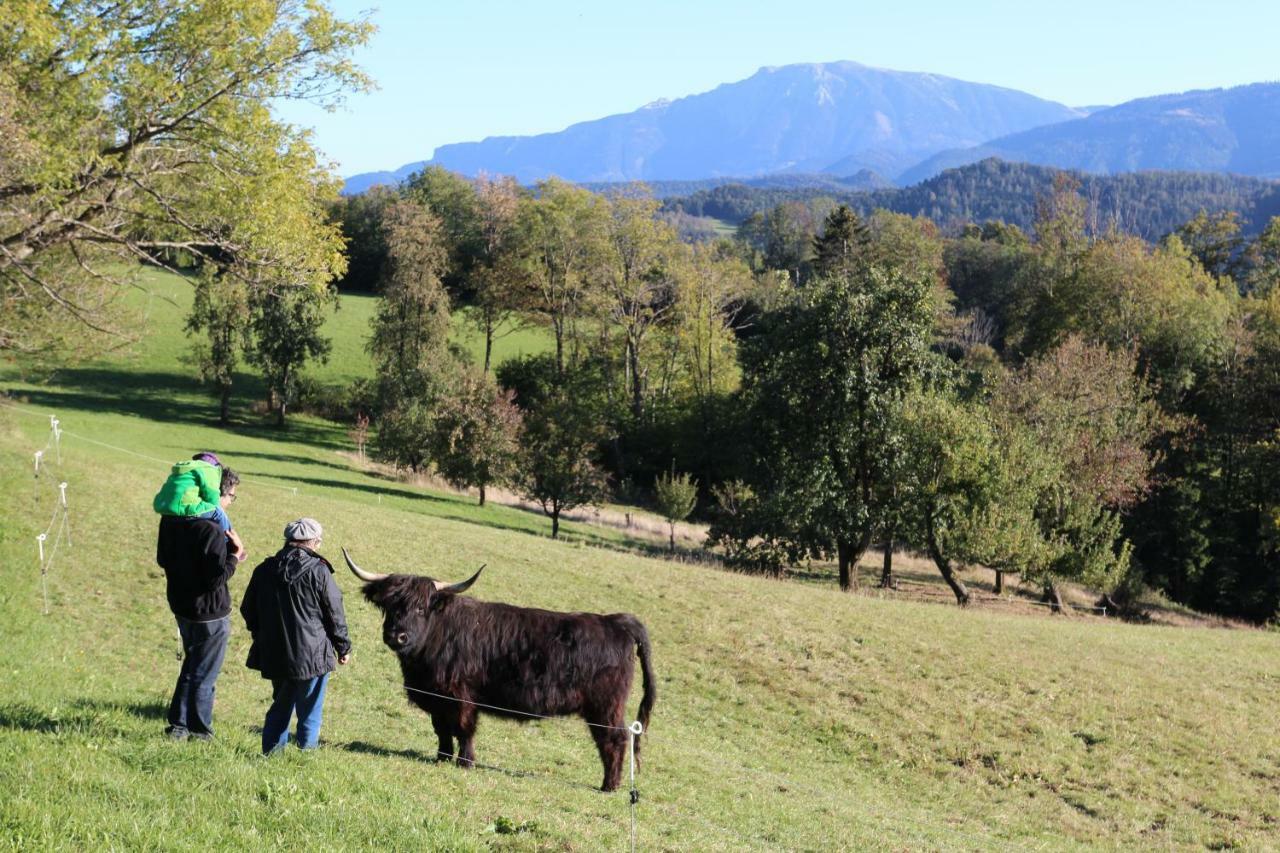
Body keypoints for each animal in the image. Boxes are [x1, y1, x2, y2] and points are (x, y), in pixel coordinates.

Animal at [343, 548, 655, 788]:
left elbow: (464, 729)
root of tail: (617, 621)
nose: (397, 636)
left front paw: (465, 762)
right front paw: (441, 758)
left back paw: (609, 786)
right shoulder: (437, 698)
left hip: (605, 706)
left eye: (421, 608)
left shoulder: (462, 696)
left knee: (615, 739)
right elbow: (441, 730)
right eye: (389, 606)